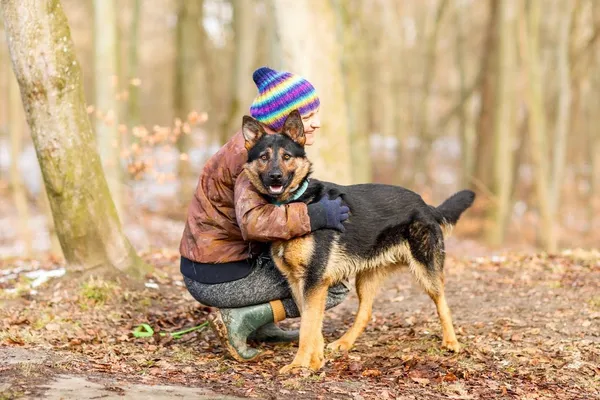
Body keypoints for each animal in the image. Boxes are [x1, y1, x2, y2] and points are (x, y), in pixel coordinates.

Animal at [241, 110, 476, 376]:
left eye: (287, 157)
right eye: (263, 157)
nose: (275, 176)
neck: (293, 202)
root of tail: (425, 205)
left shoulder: (313, 282)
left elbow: (307, 328)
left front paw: (299, 365)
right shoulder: (299, 283)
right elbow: (311, 324)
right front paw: (316, 361)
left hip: (426, 272)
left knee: (443, 303)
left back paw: (451, 342)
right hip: (365, 278)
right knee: (365, 312)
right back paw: (344, 342)